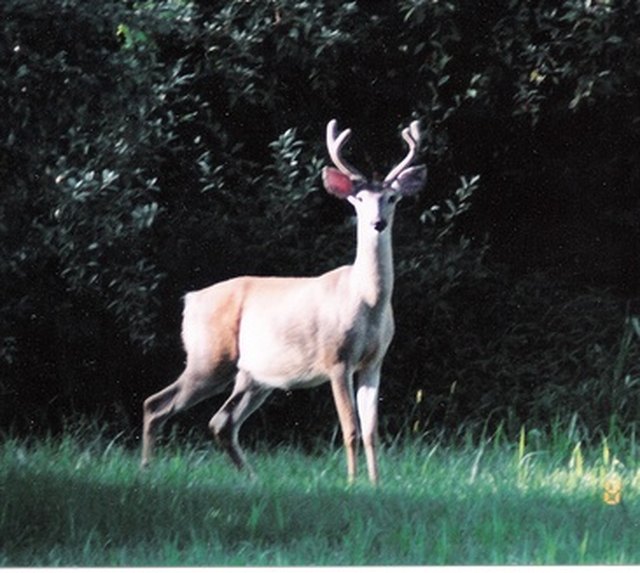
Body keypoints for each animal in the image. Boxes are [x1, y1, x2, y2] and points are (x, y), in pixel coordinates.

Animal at [142, 117, 428, 482]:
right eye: (359, 199)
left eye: (392, 197)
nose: (378, 222)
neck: (367, 301)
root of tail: (189, 300)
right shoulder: (336, 358)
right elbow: (350, 429)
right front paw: (352, 482)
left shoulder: (374, 361)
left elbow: (370, 431)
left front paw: (376, 483)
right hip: (209, 358)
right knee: (156, 404)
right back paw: (147, 469)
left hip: (254, 376)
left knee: (221, 421)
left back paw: (252, 477)